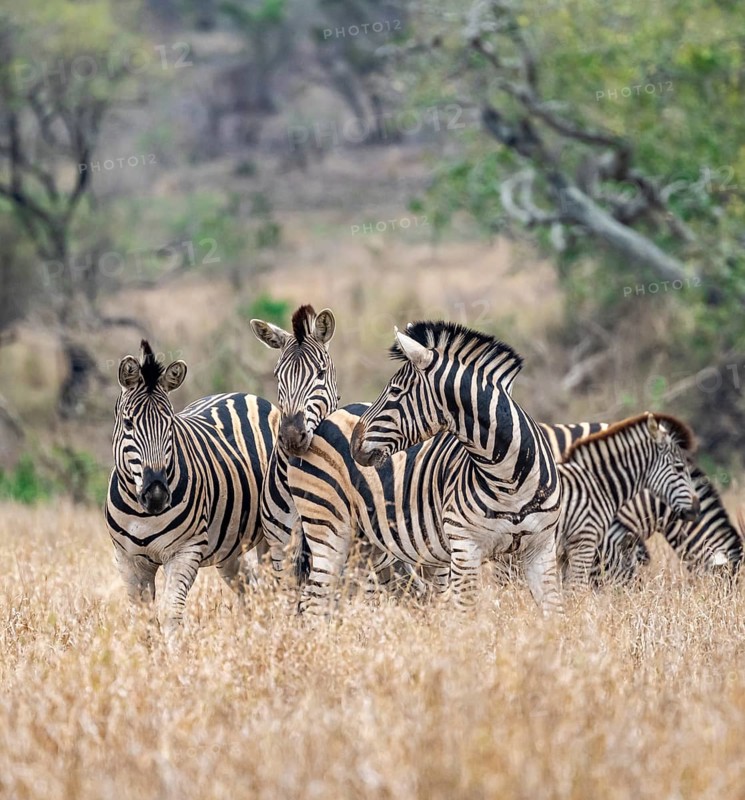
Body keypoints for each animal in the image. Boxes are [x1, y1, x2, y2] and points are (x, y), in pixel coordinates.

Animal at [105, 341, 279, 634]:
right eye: (128, 424)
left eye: (170, 423)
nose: (156, 495)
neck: (142, 514)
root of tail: (243, 395)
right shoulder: (128, 560)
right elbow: (143, 619)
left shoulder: (185, 551)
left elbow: (170, 613)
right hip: (230, 548)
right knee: (251, 590)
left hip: (277, 532)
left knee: (280, 586)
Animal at [289, 321, 564, 614]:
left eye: (395, 391)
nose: (354, 445)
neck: (509, 479)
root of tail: (329, 417)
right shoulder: (465, 548)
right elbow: (468, 615)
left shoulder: (541, 549)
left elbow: (554, 613)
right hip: (327, 526)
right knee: (313, 602)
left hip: (368, 544)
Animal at [556, 412, 700, 586]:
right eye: (679, 468)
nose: (697, 508)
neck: (598, 484)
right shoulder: (583, 543)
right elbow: (576, 588)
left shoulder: (565, 555)